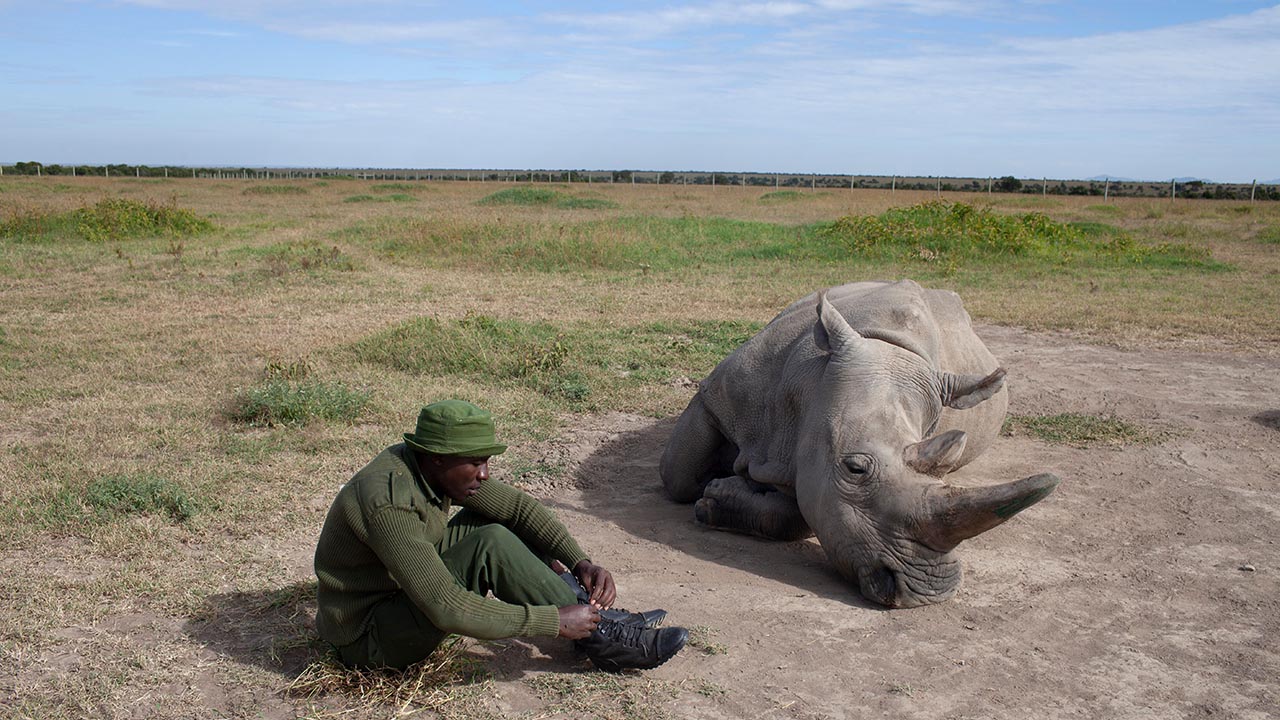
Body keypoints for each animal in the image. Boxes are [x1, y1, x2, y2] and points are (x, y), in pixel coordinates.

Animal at [660, 280, 1059, 604]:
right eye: (855, 469)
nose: (928, 591)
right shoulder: (720, 396)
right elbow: (677, 474)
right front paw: (713, 487)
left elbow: (799, 514)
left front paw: (720, 498)